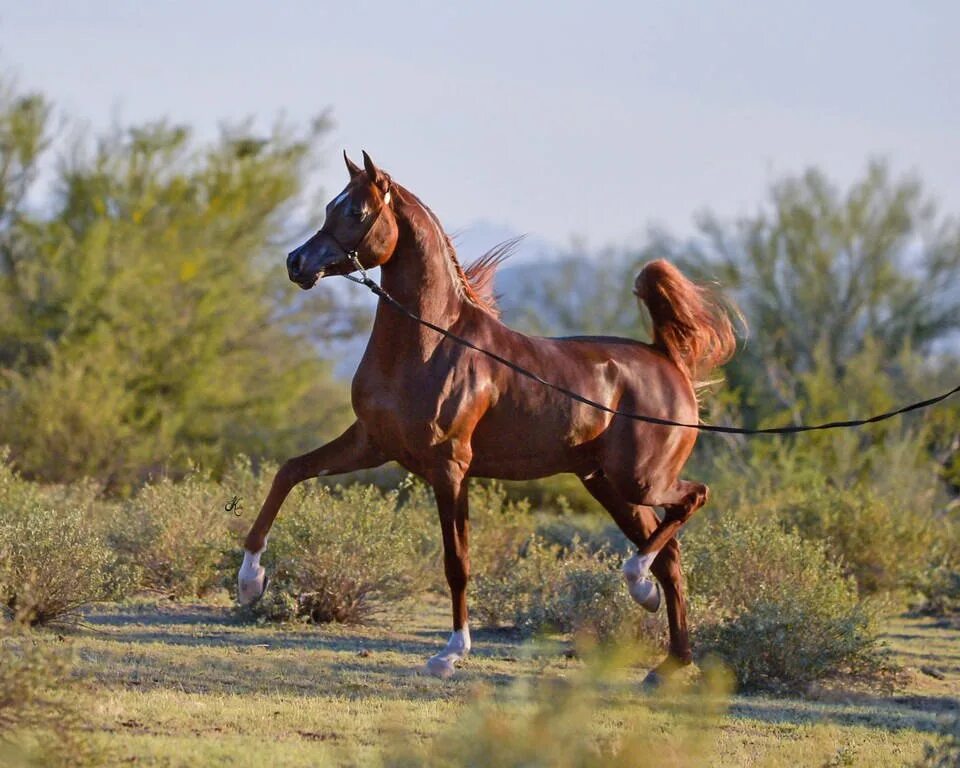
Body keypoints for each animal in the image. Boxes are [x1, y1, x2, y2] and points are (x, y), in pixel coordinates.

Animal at [238, 150, 736, 684]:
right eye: (332, 206)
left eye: (355, 211)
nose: (296, 263)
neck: (429, 343)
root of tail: (667, 358)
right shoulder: (369, 443)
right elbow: (290, 471)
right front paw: (250, 581)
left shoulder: (450, 469)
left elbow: (457, 562)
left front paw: (450, 654)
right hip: (606, 484)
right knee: (671, 558)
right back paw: (667, 656)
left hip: (641, 479)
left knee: (693, 500)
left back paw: (638, 583)